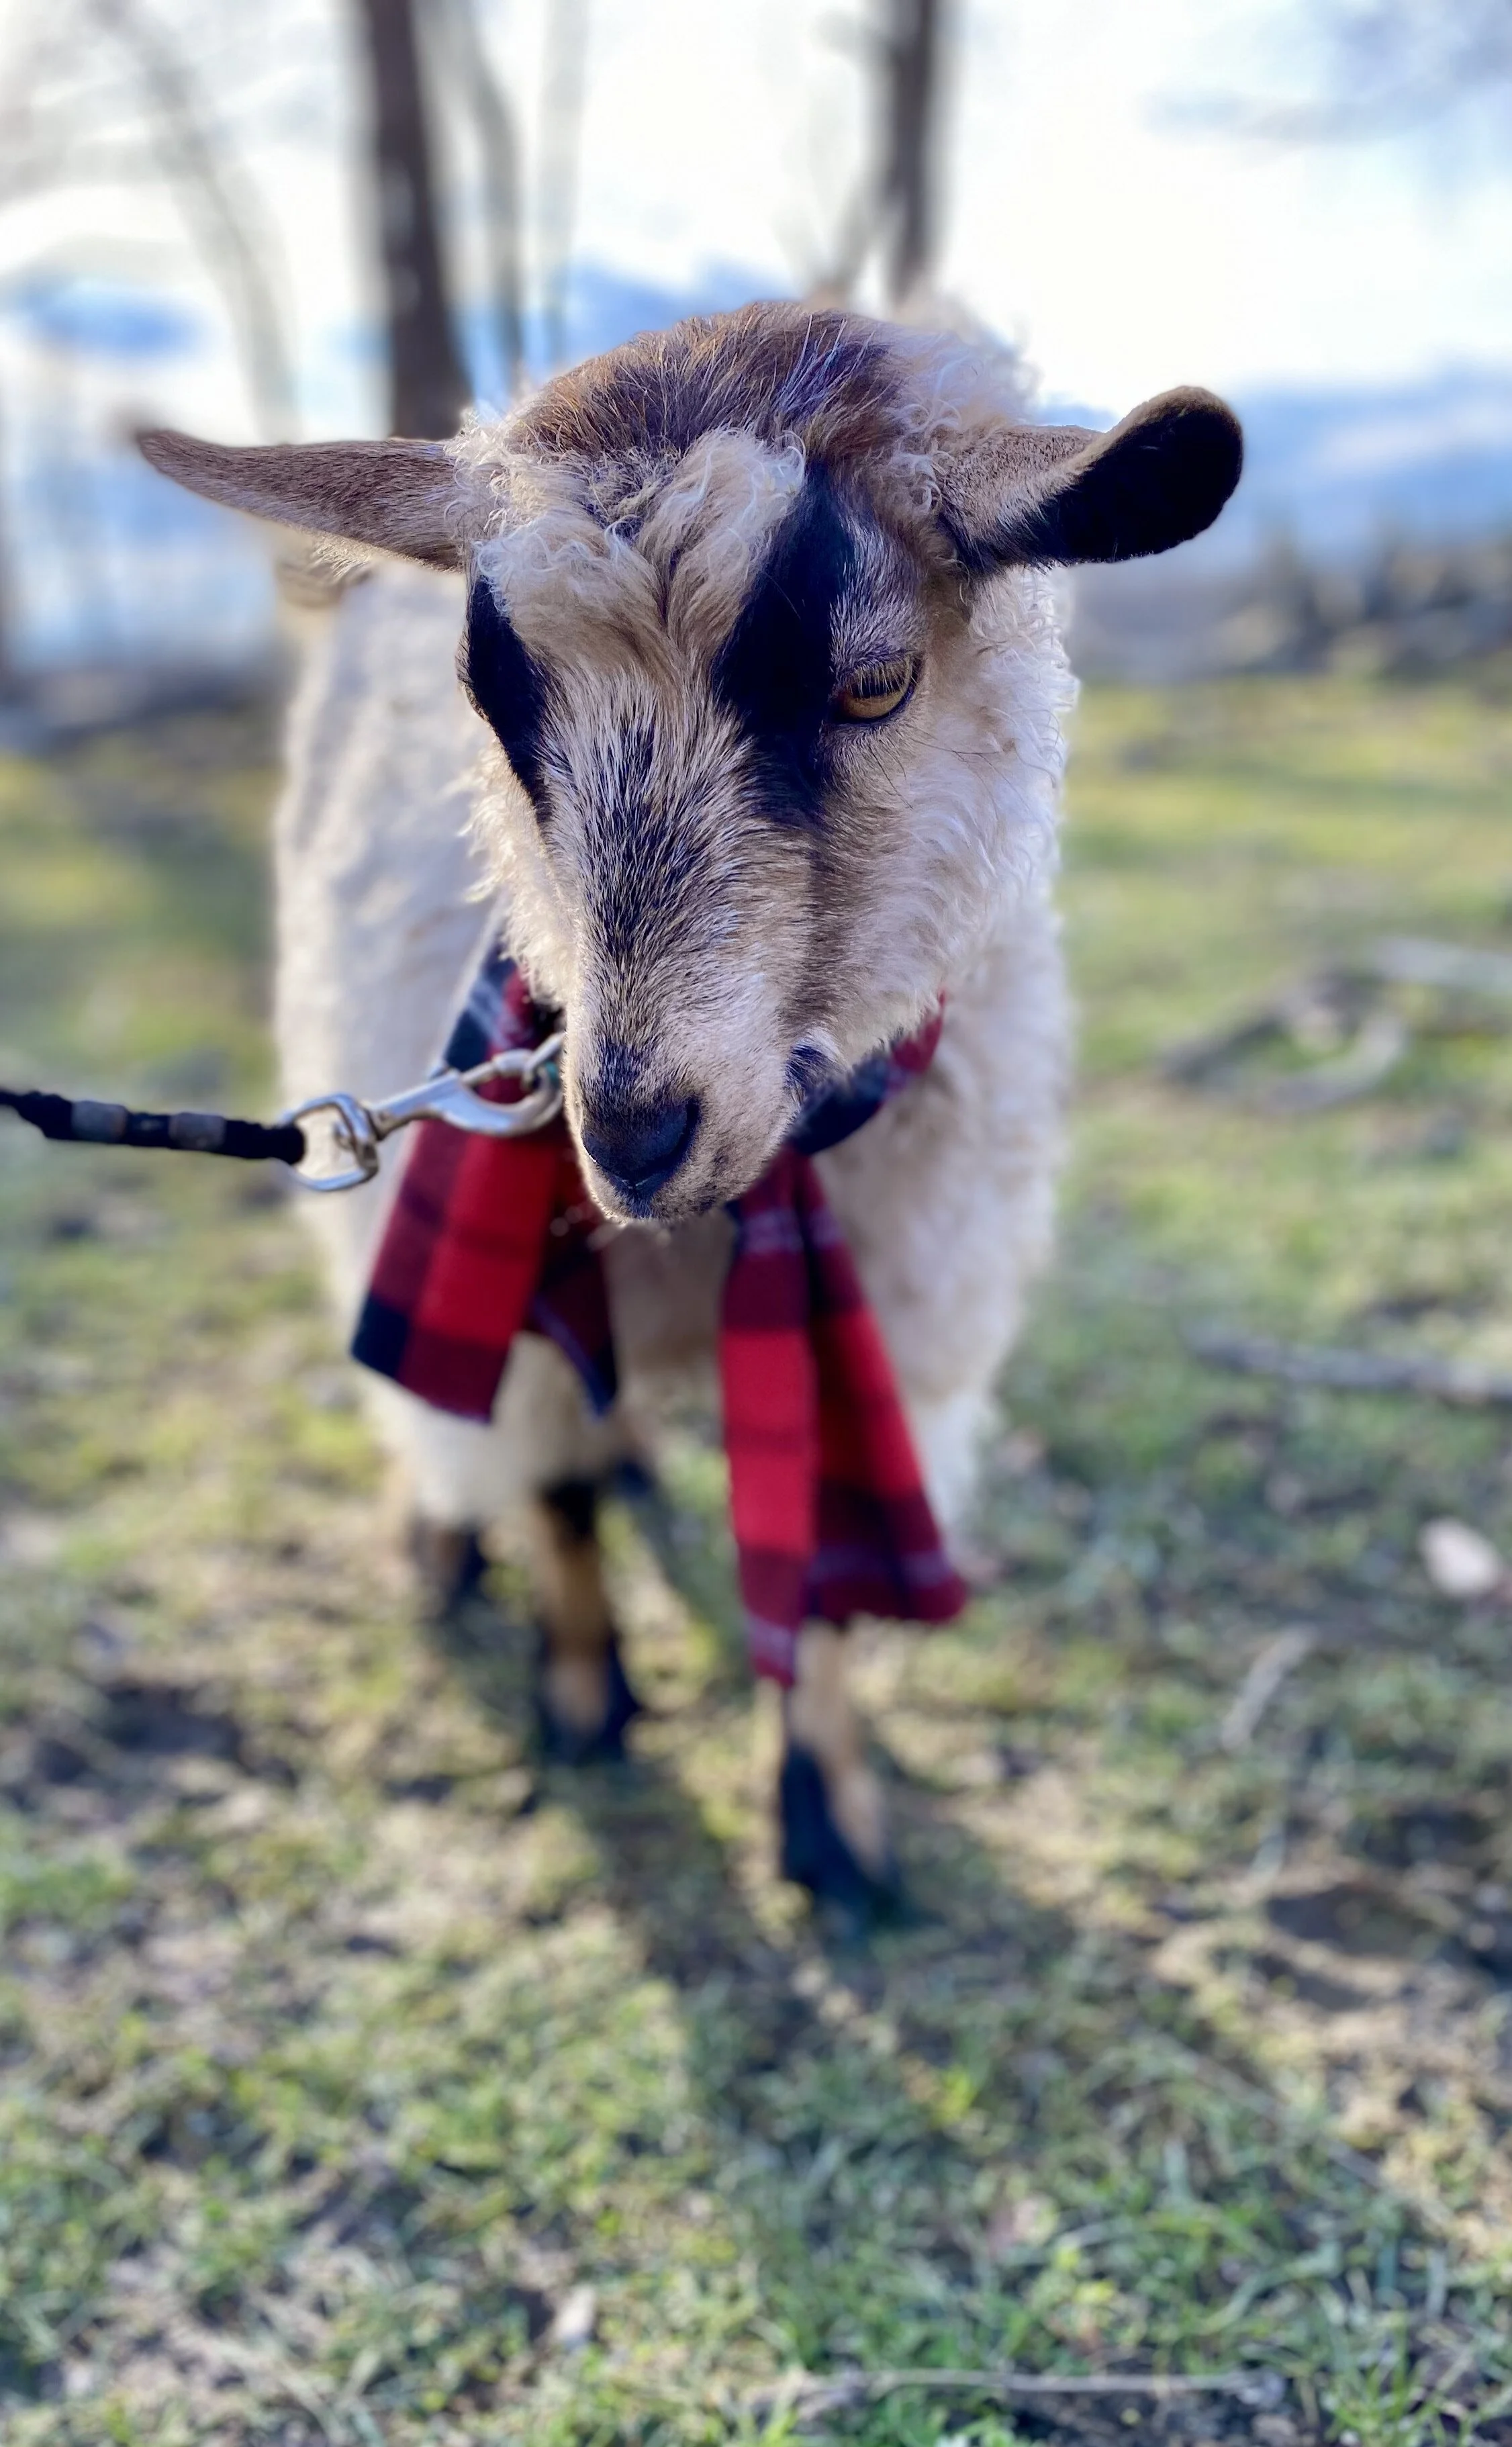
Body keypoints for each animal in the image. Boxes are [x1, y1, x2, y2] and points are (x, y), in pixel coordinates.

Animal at [141, 304, 1240, 1919]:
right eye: (496, 705)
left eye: (873, 682)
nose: (631, 1133)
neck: (741, 1199)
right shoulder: (524, 1330)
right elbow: (555, 1499)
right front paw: (586, 1701)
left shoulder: (889, 1324)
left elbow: (819, 1574)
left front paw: (832, 1820)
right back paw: (439, 1535)